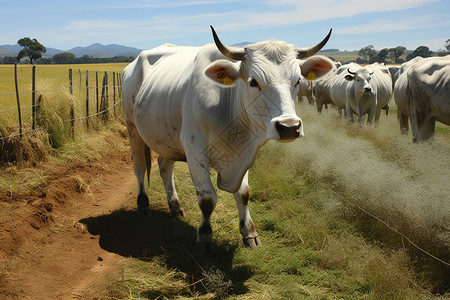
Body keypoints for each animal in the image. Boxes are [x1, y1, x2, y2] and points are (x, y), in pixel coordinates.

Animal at [121, 25, 332, 252]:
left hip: (167, 139)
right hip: (133, 129)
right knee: (139, 166)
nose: (289, 127)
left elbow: (243, 193)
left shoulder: (244, 153)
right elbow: (207, 198)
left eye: (298, 81)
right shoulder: (195, 153)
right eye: (253, 81)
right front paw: (205, 237)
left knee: (164, 166)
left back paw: (175, 206)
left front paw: (249, 232)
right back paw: (143, 205)